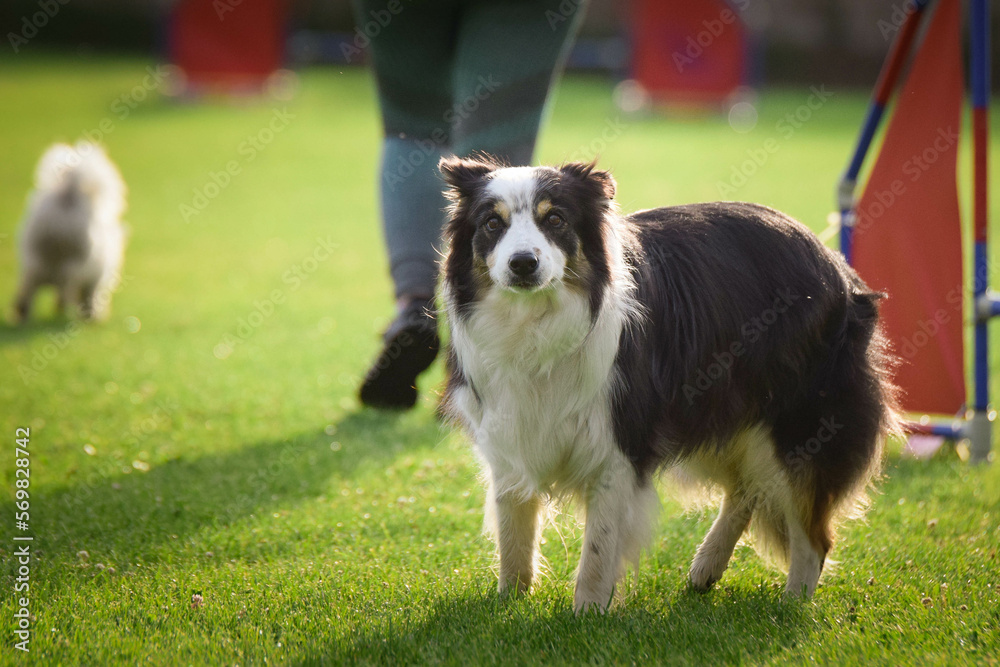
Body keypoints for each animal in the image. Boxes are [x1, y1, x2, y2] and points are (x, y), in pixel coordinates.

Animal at [12, 142, 127, 322]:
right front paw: (92, 316)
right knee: (67, 286)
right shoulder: (95, 278)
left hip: (33, 260)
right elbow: (90, 297)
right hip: (75, 263)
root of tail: (68, 196)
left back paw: (23, 313)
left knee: (28, 288)